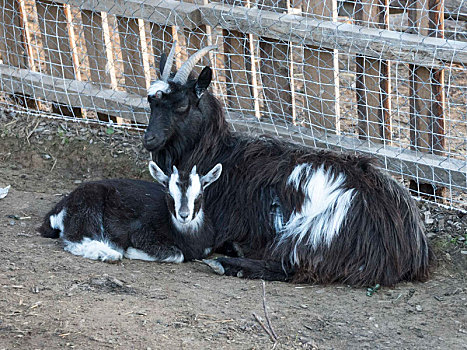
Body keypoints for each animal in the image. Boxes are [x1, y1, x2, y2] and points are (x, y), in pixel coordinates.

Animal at [38, 161, 223, 262]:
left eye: (199, 195)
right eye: (169, 194)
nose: (183, 215)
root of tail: (59, 208)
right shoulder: (141, 234)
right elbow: (178, 255)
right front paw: (132, 251)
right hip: (87, 208)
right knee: (76, 238)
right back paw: (108, 253)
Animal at [144, 43, 436, 288]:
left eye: (182, 105)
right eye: (151, 102)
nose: (149, 139)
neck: (218, 154)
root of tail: (409, 243)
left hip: (309, 232)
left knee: (293, 267)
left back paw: (226, 263)